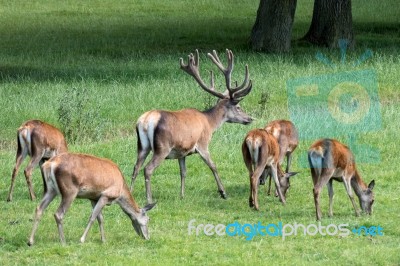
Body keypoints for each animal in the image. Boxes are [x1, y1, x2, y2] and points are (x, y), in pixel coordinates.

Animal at [27, 152, 155, 245]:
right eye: (148, 219)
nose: (147, 237)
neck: (120, 191)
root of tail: (48, 165)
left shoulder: (93, 197)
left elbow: (100, 218)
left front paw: (104, 240)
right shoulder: (105, 195)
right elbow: (93, 217)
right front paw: (82, 239)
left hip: (50, 189)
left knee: (39, 208)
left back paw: (30, 241)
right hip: (69, 191)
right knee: (58, 214)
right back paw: (63, 242)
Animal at [130, 48, 253, 203]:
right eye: (238, 107)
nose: (250, 118)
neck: (210, 123)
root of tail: (146, 121)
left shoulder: (182, 151)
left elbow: (183, 172)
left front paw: (182, 195)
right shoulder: (202, 143)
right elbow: (213, 165)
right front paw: (223, 192)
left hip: (142, 146)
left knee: (135, 167)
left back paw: (129, 192)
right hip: (162, 147)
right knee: (148, 169)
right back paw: (149, 199)